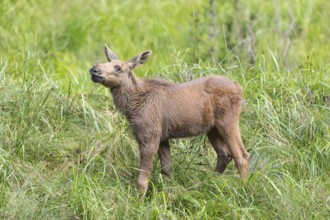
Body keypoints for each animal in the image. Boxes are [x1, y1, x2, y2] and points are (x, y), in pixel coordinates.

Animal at [89, 45, 249, 192]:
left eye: (118, 67)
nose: (94, 70)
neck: (132, 107)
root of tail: (240, 89)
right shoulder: (163, 138)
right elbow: (167, 169)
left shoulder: (149, 135)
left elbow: (142, 180)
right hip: (212, 128)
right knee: (224, 154)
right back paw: (209, 183)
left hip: (228, 121)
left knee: (242, 156)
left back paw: (243, 187)